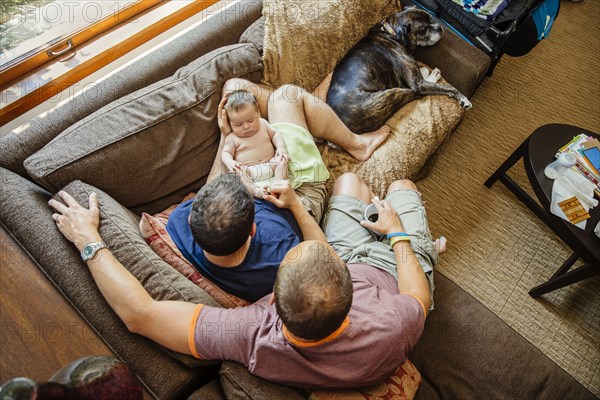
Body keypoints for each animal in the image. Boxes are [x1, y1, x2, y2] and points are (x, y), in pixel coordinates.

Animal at [326, 7, 472, 134]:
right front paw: (463, 98)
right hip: (391, 94)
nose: (440, 27)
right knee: (414, 92)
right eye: (424, 28)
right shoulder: (417, 84)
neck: (392, 33)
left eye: (431, 19)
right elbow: (449, 87)